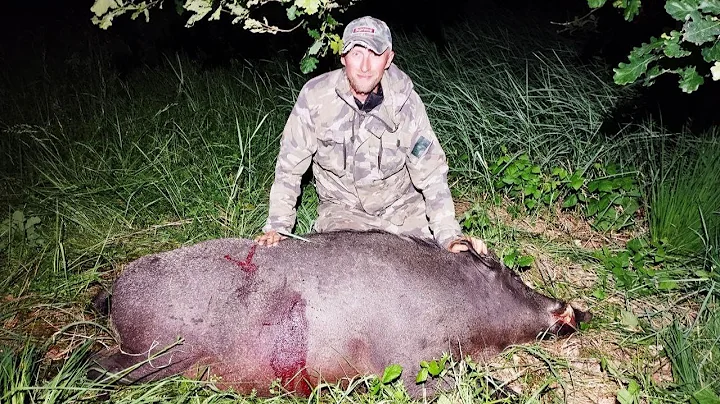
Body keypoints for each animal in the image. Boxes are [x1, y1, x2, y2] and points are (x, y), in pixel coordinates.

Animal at [91, 230, 589, 396]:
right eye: (509, 274)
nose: (578, 310)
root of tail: (114, 294)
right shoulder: (407, 362)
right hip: (153, 353)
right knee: (96, 365)